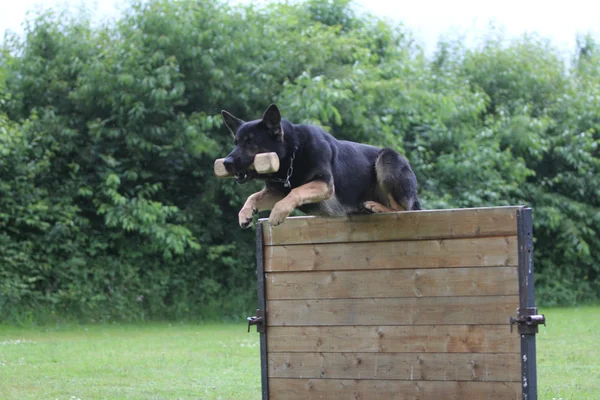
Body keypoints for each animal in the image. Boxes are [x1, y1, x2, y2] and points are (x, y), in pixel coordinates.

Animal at [220, 104, 422, 228]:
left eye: (250, 142)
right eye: (236, 142)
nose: (226, 163)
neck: (293, 154)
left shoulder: (324, 184)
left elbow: (295, 192)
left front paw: (278, 212)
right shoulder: (276, 191)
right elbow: (253, 196)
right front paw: (245, 213)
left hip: (388, 158)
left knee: (403, 209)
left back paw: (376, 207)